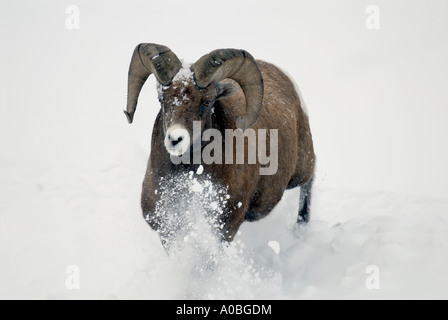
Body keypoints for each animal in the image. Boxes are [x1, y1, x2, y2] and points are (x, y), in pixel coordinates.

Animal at [124, 43, 316, 244]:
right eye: (161, 99)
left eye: (207, 102)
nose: (175, 139)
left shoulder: (223, 229)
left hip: (300, 172)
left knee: (310, 180)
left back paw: (301, 227)